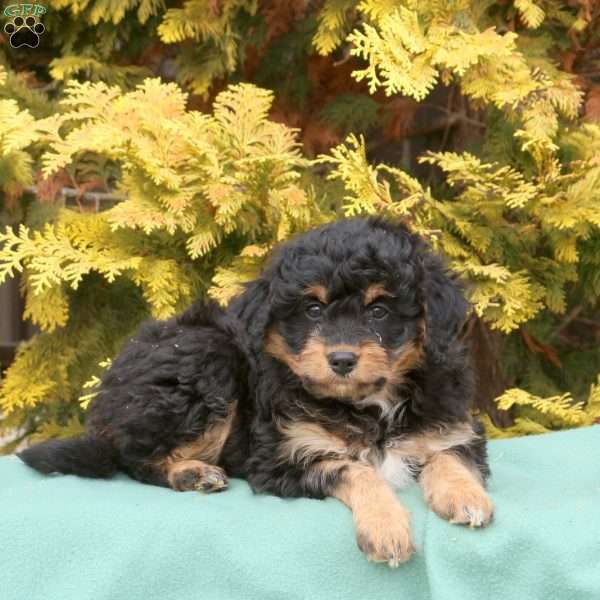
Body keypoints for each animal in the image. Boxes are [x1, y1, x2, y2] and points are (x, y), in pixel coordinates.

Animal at [21, 218, 494, 564]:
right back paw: (193, 473)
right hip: (207, 362)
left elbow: (449, 456)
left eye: (379, 311)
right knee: (134, 460)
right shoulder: (285, 455)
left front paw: (467, 497)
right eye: (313, 309)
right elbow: (356, 470)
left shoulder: (454, 426)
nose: (341, 359)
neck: (366, 404)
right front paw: (387, 528)